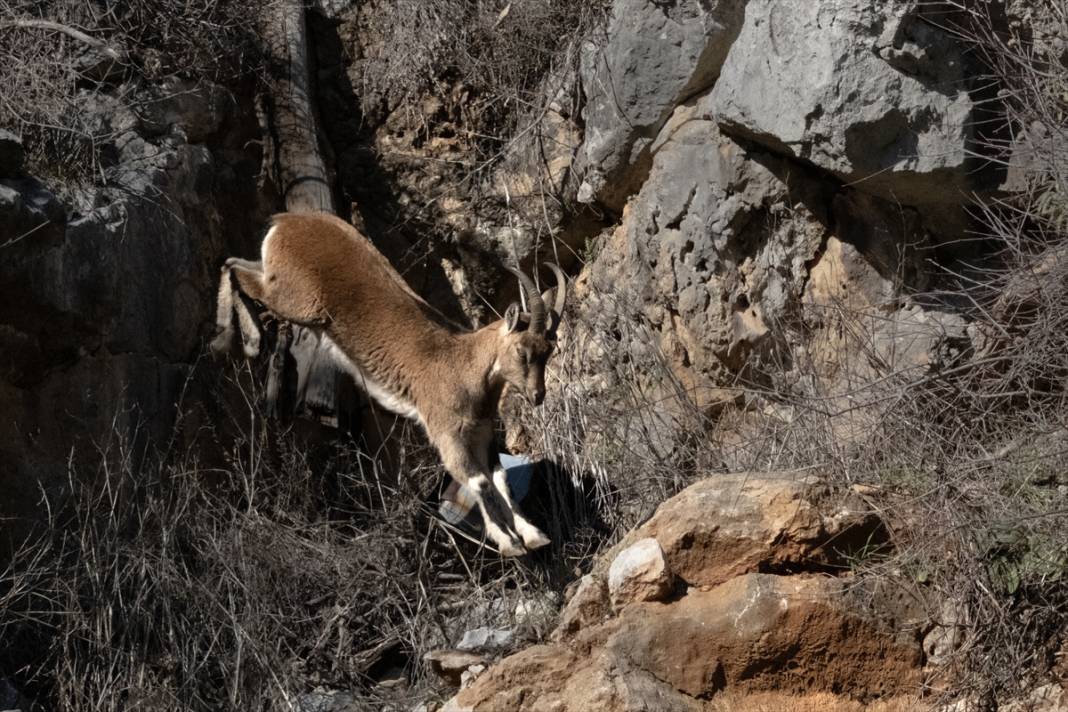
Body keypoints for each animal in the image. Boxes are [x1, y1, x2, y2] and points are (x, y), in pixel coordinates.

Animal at [211, 211, 572, 555]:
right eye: (523, 351)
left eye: (549, 350)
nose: (537, 395)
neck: (462, 366)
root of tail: (284, 221)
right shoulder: (446, 432)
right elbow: (479, 482)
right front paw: (510, 543)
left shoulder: (481, 433)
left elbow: (500, 480)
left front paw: (534, 536)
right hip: (295, 299)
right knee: (233, 267)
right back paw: (241, 338)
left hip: (277, 279)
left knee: (237, 264)